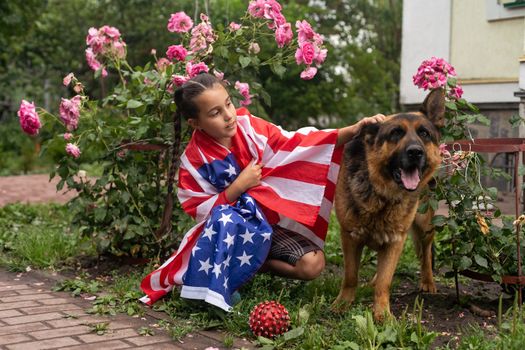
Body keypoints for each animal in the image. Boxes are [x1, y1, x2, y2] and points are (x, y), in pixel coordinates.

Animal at [332, 89, 442, 318]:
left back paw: (428, 281)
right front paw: (343, 303)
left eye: (424, 133)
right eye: (395, 133)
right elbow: (351, 276)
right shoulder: (350, 236)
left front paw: (382, 314)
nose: (415, 152)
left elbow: (386, 282)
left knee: (426, 254)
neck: (382, 193)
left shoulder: (396, 240)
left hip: (424, 225)